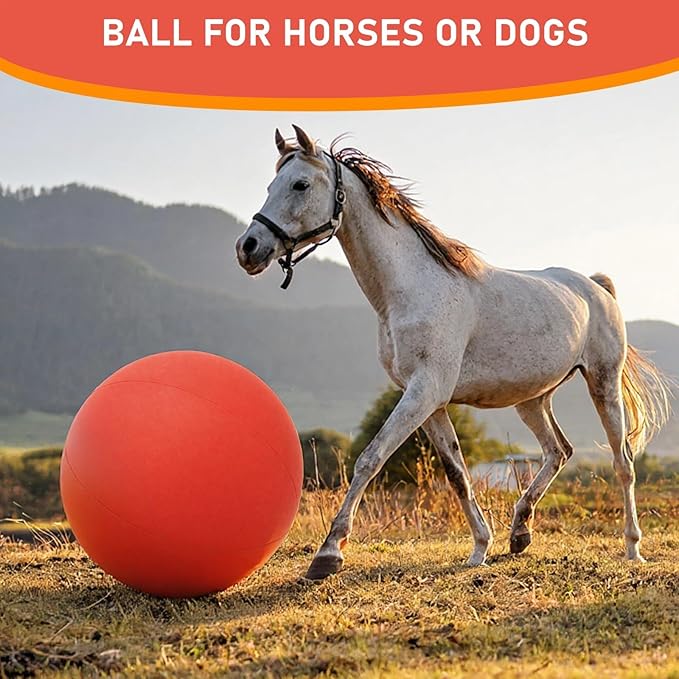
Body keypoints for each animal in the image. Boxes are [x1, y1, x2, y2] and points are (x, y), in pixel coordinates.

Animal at [236, 125, 671, 580]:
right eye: (270, 185)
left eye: (300, 184)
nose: (248, 247)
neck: (411, 289)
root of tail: (595, 286)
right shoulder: (430, 401)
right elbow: (457, 473)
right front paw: (480, 547)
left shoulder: (425, 392)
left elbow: (370, 459)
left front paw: (328, 553)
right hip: (533, 399)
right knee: (559, 451)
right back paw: (520, 533)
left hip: (603, 383)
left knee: (623, 463)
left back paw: (632, 547)